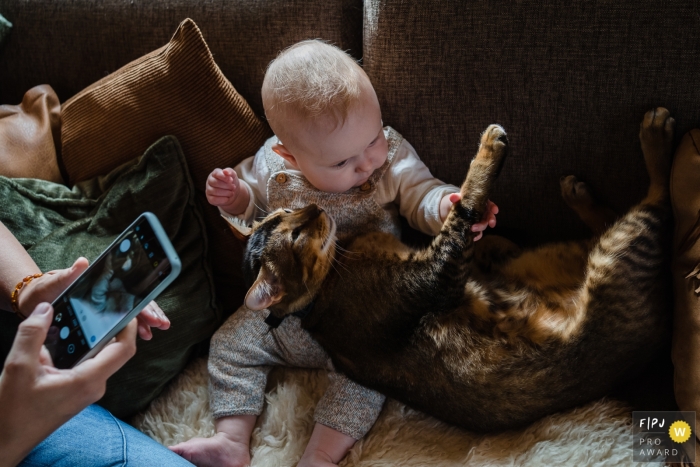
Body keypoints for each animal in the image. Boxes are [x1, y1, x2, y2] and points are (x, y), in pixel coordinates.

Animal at [239, 108, 672, 434]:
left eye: (286, 212)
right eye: (295, 235)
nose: (314, 209)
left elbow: (476, 231)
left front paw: (492, 233)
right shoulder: (436, 275)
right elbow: (464, 208)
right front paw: (488, 151)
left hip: (557, 253)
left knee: (609, 220)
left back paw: (577, 192)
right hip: (614, 255)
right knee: (656, 202)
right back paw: (657, 136)